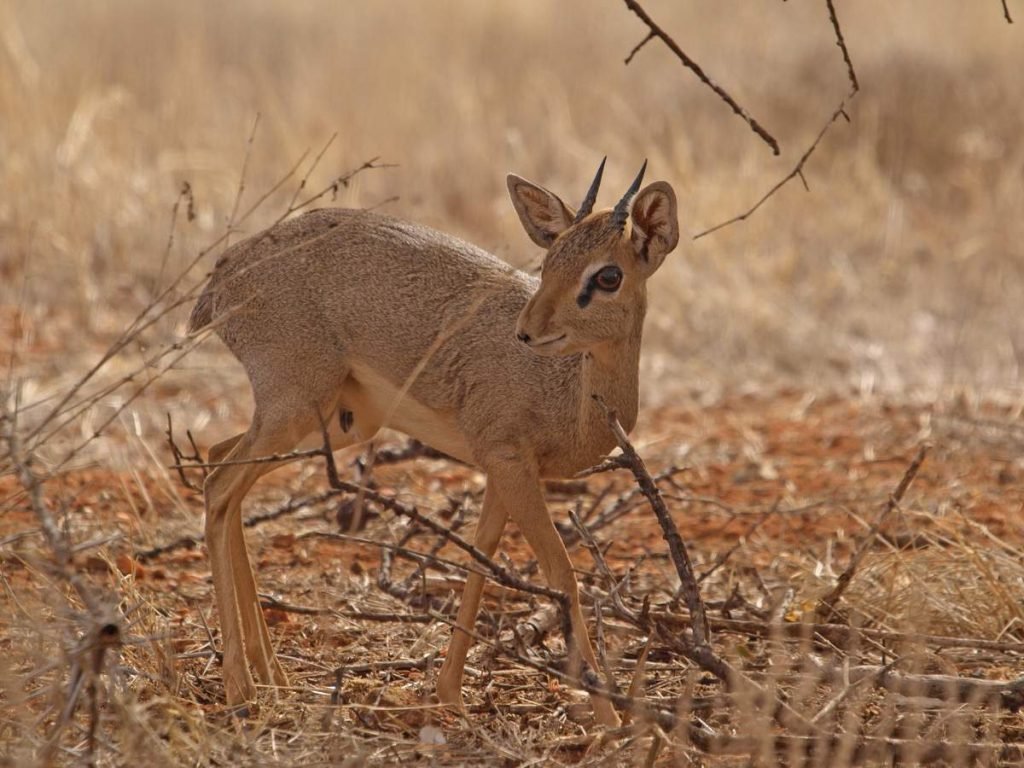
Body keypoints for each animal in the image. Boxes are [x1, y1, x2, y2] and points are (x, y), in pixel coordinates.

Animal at [190, 157, 679, 729]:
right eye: (548, 262)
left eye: (608, 274)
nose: (527, 332)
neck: (567, 394)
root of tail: (223, 277)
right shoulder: (510, 463)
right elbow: (562, 574)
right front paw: (609, 717)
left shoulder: (504, 471)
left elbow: (481, 558)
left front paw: (448, 693)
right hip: (296, 409)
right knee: (219, 487)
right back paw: (241, 687)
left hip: (333, 422)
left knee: (219, 464)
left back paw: (273, 674)